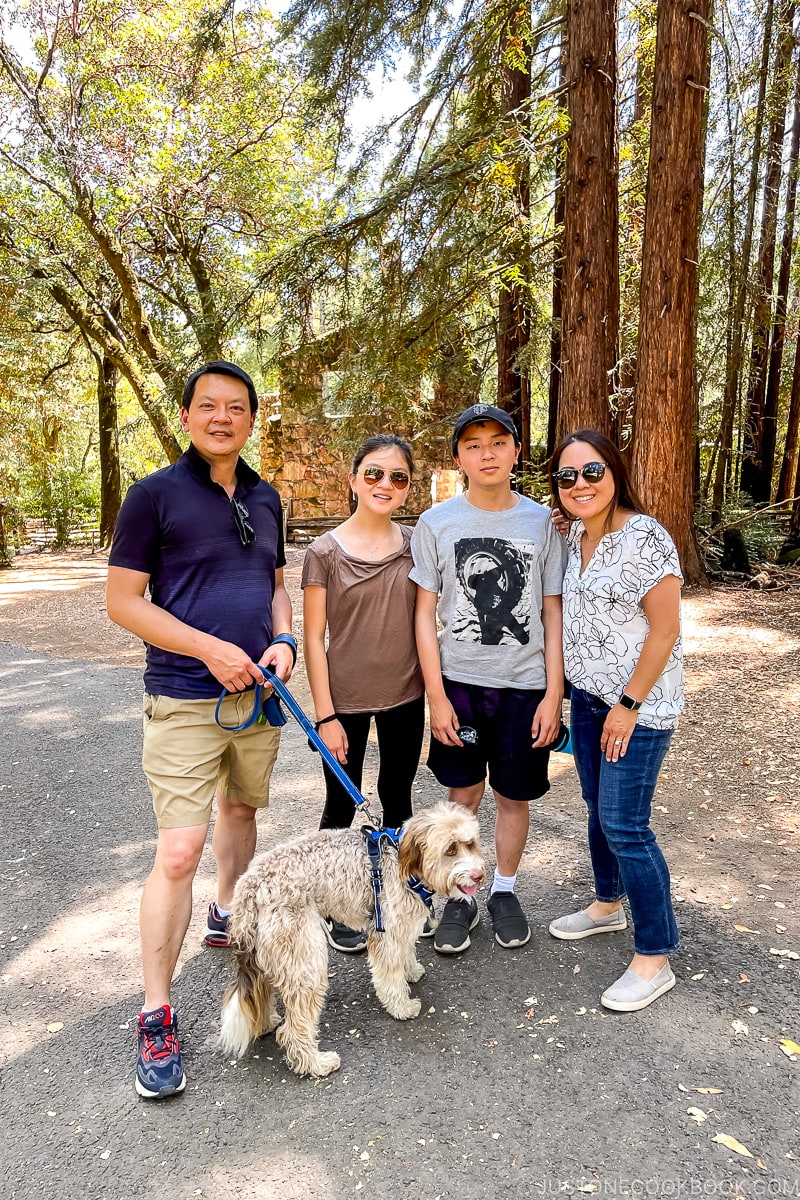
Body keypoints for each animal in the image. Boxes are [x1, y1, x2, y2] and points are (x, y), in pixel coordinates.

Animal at [215, 806, 484, 1080]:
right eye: (450, 849)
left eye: (471, 844)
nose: (479, 875)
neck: (401, 859)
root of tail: (249, 889)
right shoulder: (386, 929)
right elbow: (390, 975)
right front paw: (401, 1006)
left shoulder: (403, 923)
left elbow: (406, 949)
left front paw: (410, 970)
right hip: (305, 962)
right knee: (293, 1030)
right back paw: (315, 1063)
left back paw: (266, 1021)